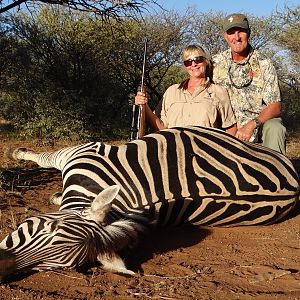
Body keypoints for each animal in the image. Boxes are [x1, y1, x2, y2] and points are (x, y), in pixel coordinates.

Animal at [0, 126, 298, 282]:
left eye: (52, 268)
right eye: (46, 228)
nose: (2, 267)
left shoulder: (82, 151)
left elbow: (46, 157)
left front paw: (18, 153)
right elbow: (46, 158)